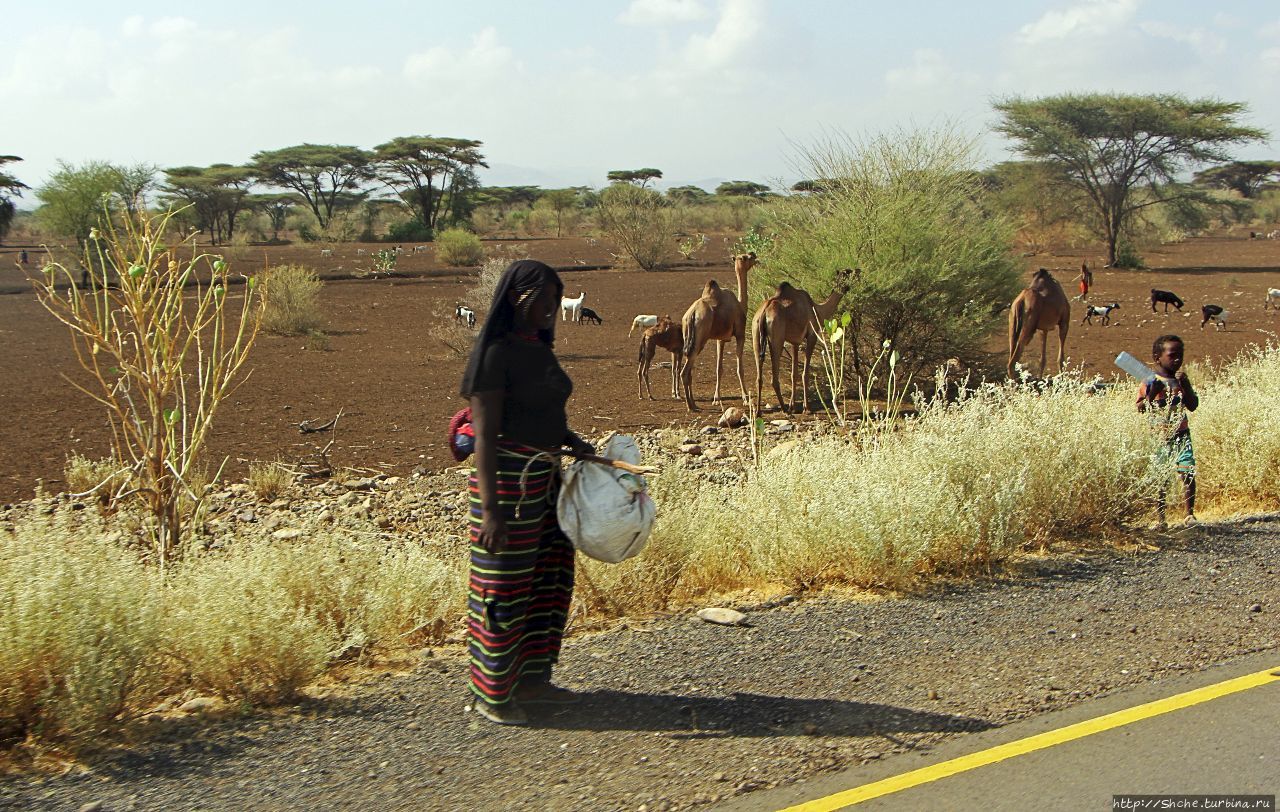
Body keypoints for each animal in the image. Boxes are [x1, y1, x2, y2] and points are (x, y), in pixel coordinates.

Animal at [686, 249, 752, 407]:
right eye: (746, 257)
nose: (754, 254)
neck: (740, 305)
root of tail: (692, 313)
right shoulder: (740, 334)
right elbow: (740, 368)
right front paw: (745, 398)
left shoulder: (720, 339)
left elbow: (719, 368)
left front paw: (717, 398)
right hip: (699, 339)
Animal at [747, 267, 860, 409]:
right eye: (848, 272)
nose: (859, 271)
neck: (819, 310)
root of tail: (764, 312)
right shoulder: (812, 336)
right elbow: (805, 373)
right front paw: (806, 407)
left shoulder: (795, 342)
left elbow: (794, 373)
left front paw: (793, 405)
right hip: (777, 337)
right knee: (774, 378)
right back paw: (784, 409)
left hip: (755, 332)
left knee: (759, 376)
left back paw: (759, 411)